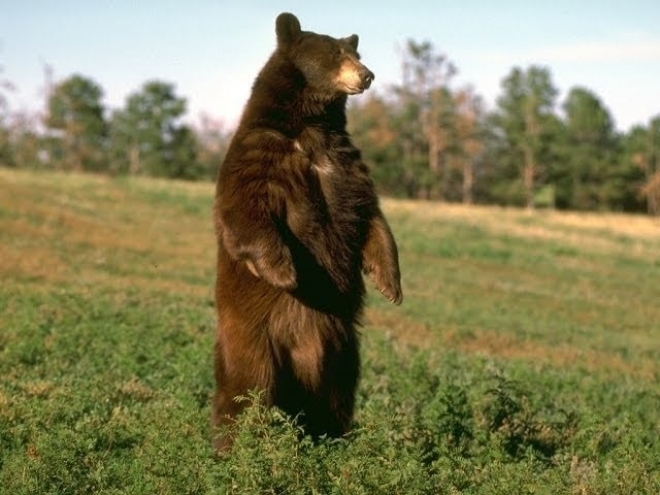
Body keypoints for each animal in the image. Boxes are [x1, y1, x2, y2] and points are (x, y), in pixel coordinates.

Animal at [211, 11, 402, 456]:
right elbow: (246, 209)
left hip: (344, 351)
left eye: (356, 52)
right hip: (256, 339)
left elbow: (370, 215)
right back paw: (233, 446)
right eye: (335, 53)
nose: (367, 75)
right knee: (247, 390)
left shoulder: (346, 165)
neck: (312, 126)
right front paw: (286, 272)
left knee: (335, 398)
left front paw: (391, 284)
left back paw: (333, 441)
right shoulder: (261, 154)